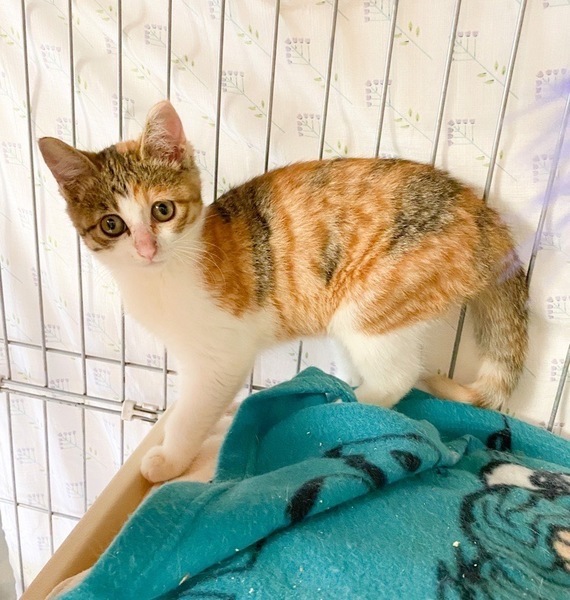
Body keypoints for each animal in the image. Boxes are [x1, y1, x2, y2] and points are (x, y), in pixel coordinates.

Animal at [38, 100, 529, 483]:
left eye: (162, 210)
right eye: (112, 225)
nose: (146, 248)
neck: (162, 277)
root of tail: (484, 215)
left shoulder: (222, 355)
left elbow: (195, 409)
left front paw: (170, 458)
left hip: (376, 300)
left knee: (399, 376)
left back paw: (340, 407)